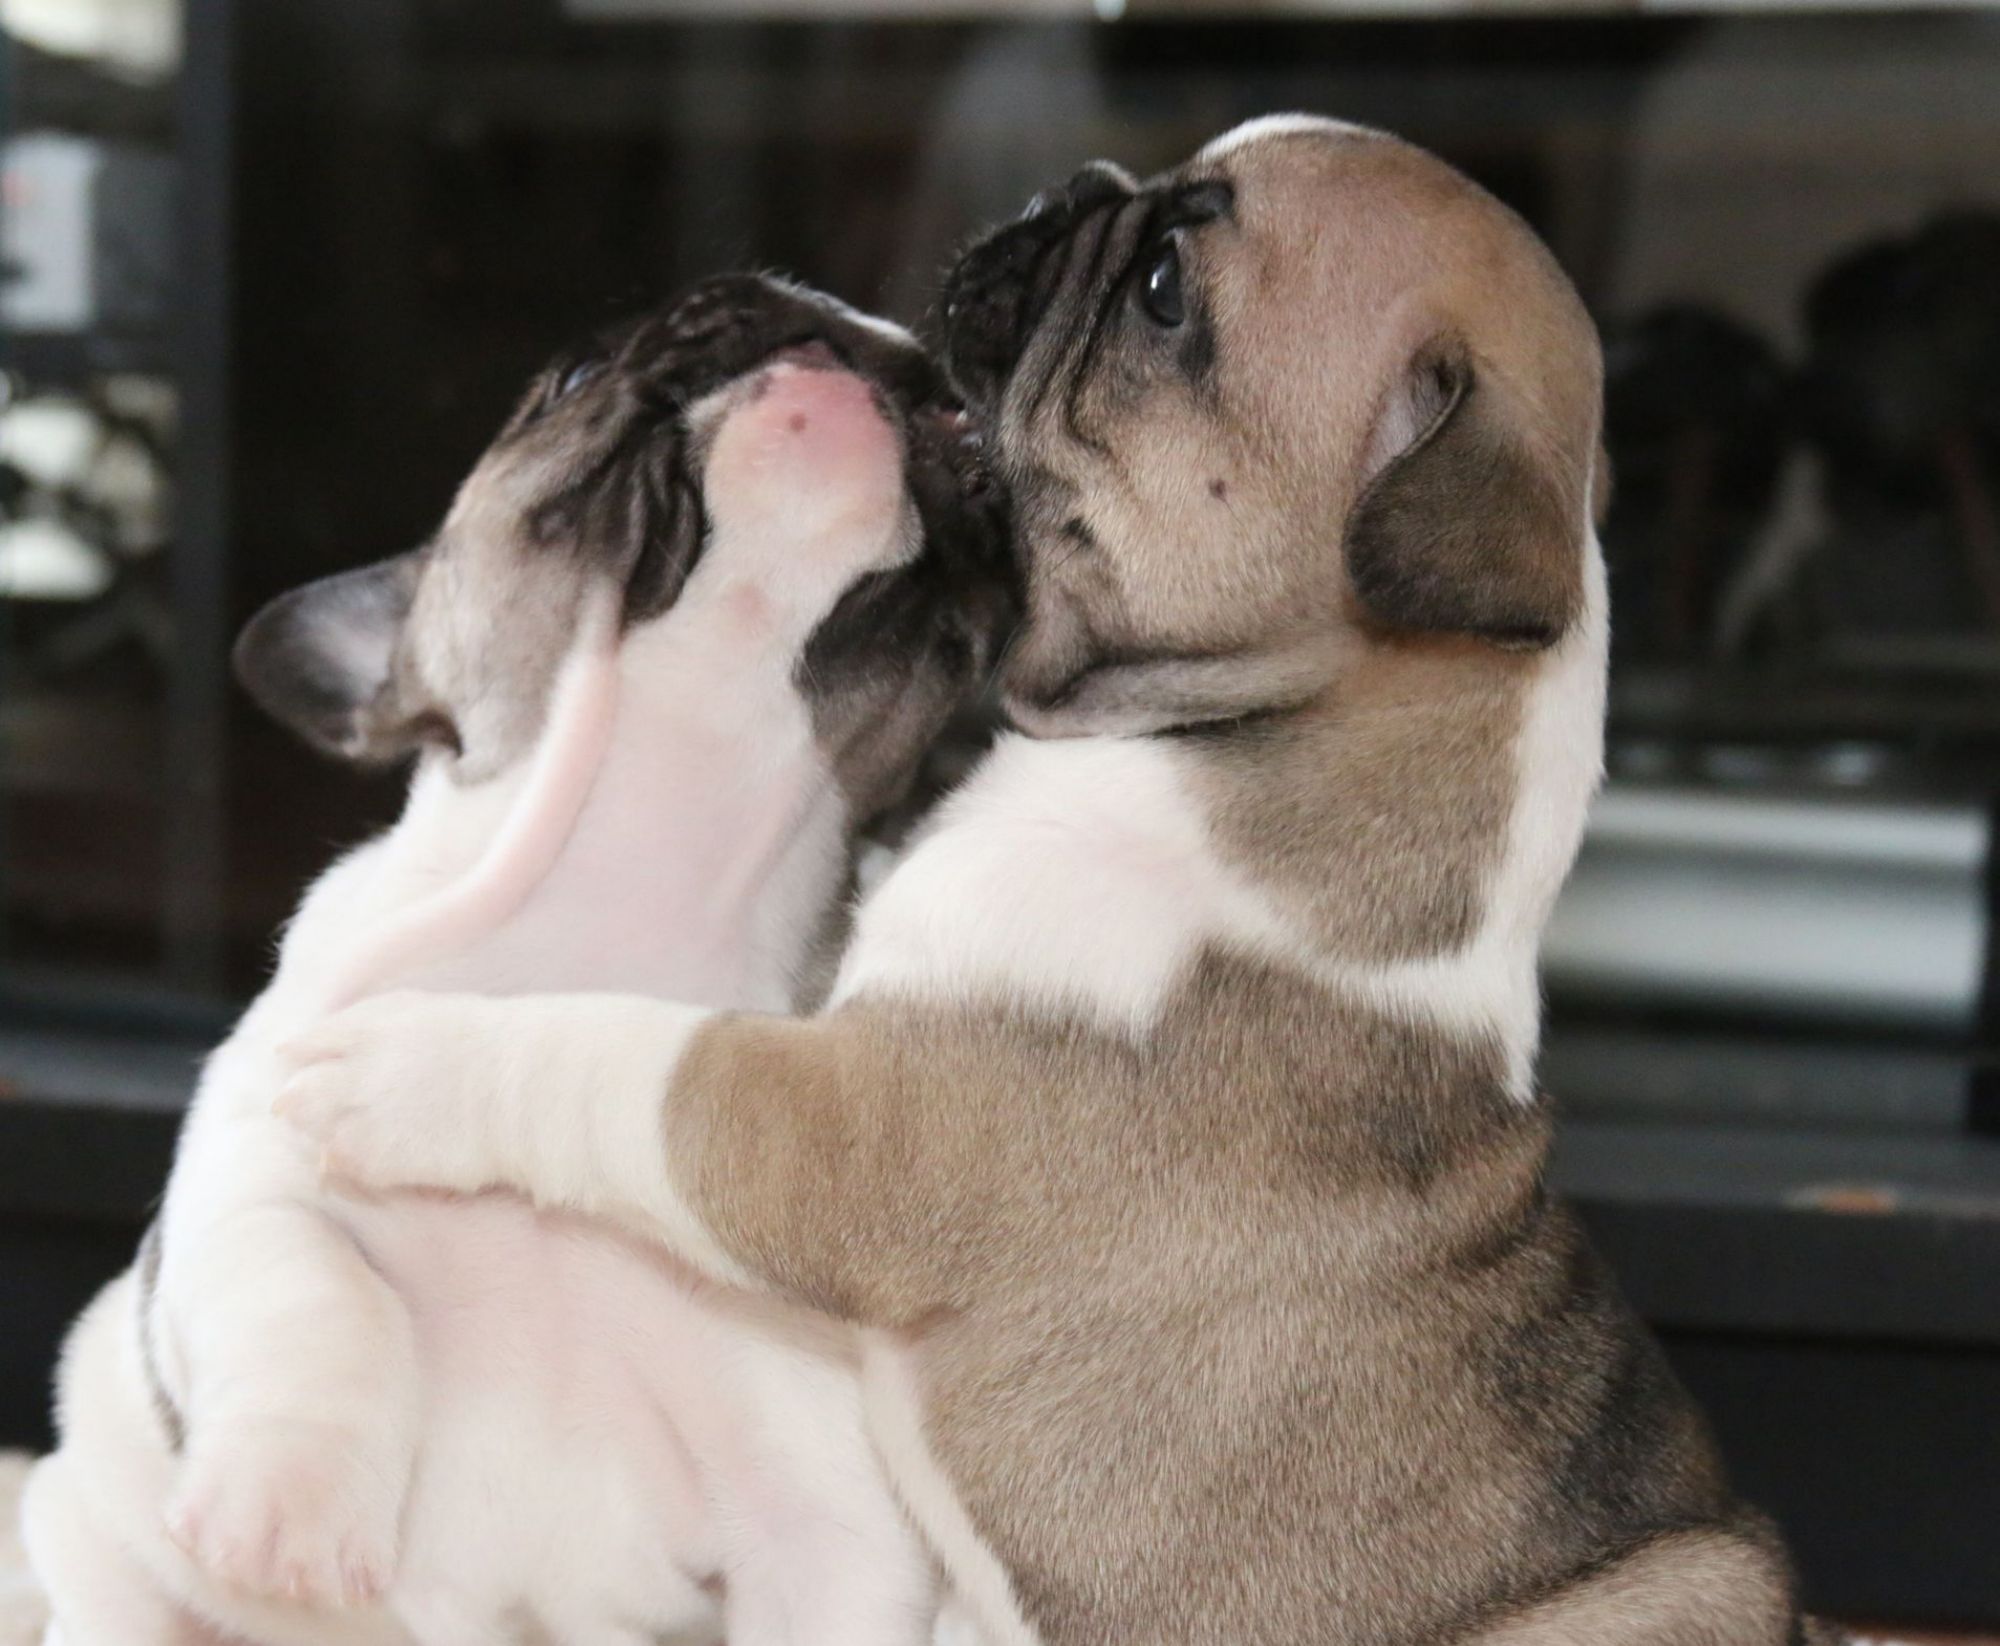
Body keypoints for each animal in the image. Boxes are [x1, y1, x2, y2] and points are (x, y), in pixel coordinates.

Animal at [24, 275, 1011, 1646]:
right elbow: (317, 1287)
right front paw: (288, 1501)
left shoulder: (827, 1525)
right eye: (572, 377)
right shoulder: (249, 1162)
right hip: (95, 1543)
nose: (813, 313)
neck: (642, 870)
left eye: (962, 429)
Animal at [276, 118, 1832, 1644]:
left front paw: (401, 1065)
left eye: (1161, 292)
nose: (1063, 187)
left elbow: (633, 1061)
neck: (1247, 731)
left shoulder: (849, 1126)